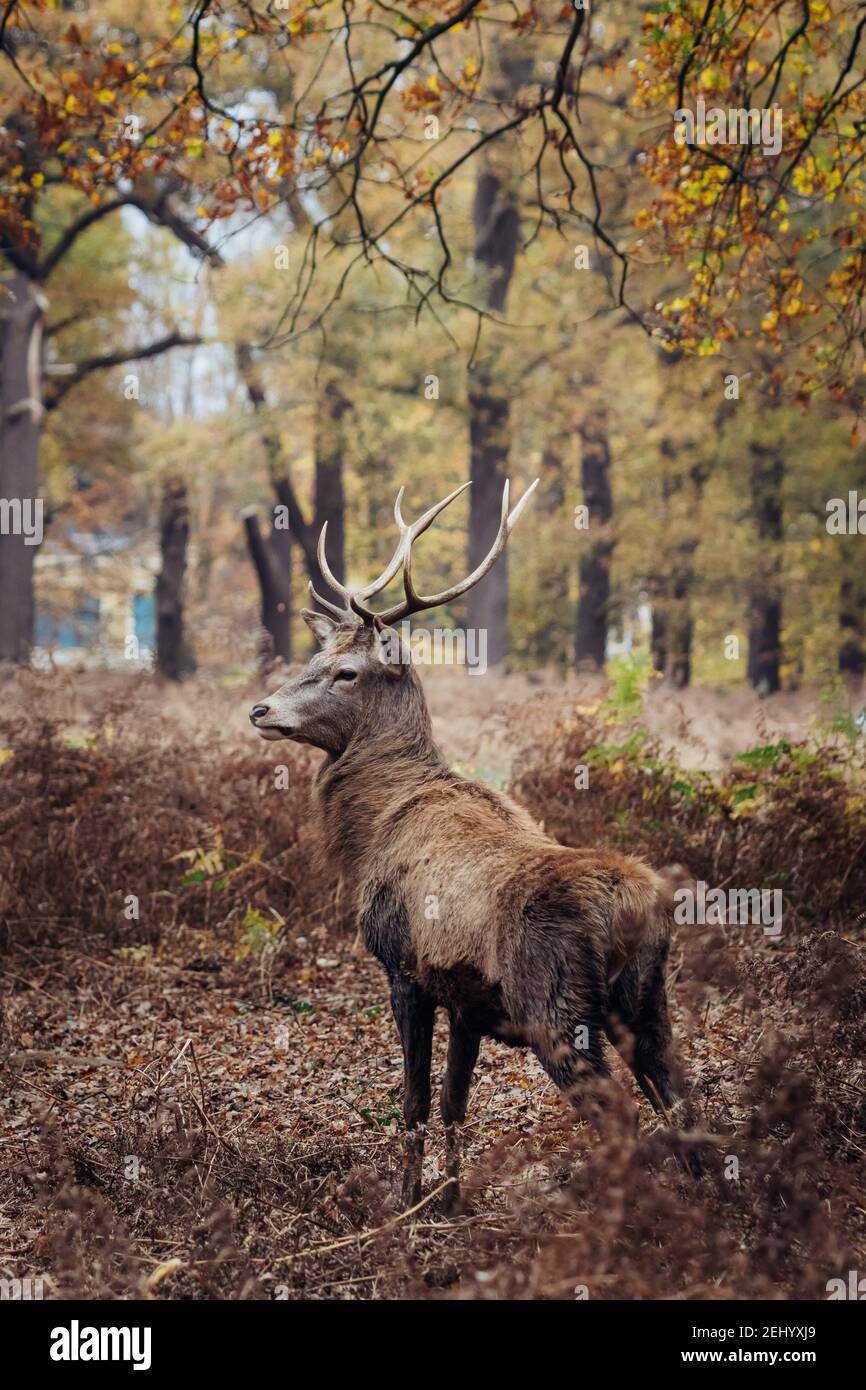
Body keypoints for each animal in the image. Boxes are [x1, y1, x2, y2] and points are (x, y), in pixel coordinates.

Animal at [249, 479, 700, 1210]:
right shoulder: (466, 999)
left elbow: (411, 1101)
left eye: (346, 672)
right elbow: (455, 1102)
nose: (261, 709)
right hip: (648, 1001)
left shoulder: (404, 967)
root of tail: (641, 911)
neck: (371, 832)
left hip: (556, 1007)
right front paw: (450, 1200)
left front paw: (406, 1203)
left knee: (623, 1113)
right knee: (684, 1100)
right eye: (314, 658)